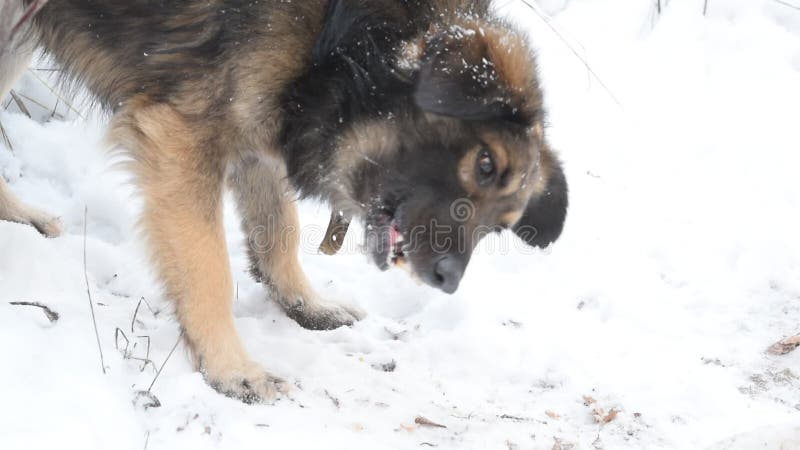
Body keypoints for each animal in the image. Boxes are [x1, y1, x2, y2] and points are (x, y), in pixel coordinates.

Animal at [3, 0, 572, 400]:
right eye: (484, 163)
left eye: (501, 224)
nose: (449, 280)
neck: (344, 45)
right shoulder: (183, 137)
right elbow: (208, 270)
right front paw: (231, 370)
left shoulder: (260, 127)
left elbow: (279, 229)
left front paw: (306, 304)